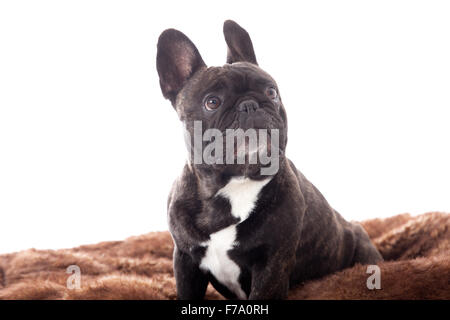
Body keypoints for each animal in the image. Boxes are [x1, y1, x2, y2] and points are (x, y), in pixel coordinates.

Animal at [156, 20, 382, 300]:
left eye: (271, 91)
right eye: (212, 102)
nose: (250, 104)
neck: (235, 182)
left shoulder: (272, 263)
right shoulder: (185, 260)